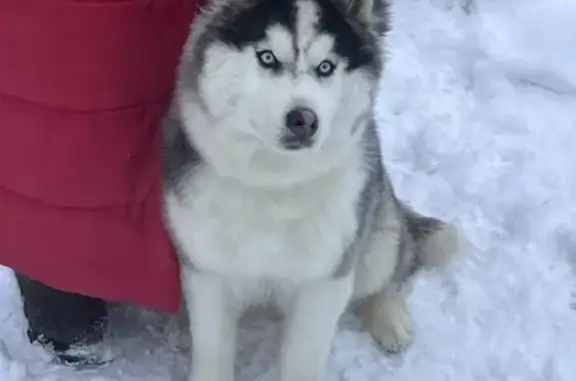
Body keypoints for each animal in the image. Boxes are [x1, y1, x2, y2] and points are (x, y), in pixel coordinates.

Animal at [164, 0, 462, 380]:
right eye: (267, 57)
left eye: (326, 66)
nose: (303, 120)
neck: (273, 182)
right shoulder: (207, 271)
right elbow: (213, 351)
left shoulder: (325, 277)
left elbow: (303, 356)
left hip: (376, 229)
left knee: (391, 267)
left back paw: (389, 316)